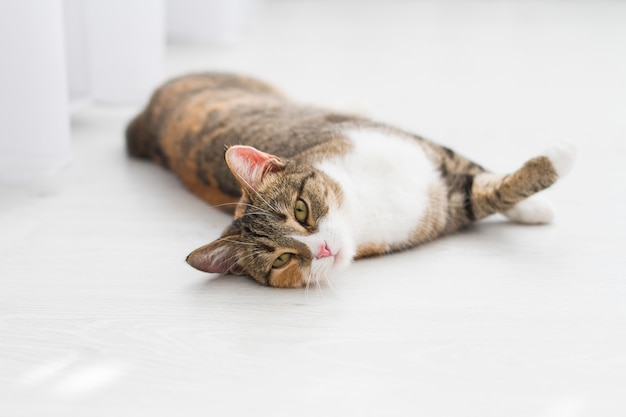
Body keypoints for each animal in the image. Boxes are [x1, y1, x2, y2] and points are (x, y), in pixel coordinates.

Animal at [127, 72, 576, 286]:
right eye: (282, 259)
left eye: (301, 210)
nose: (323, 249)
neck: (364, 205)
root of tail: (145, 114)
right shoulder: (448, 210)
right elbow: (488, 192)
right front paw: (555, 162)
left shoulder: (422, 148)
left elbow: (476, 169)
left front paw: (534, 204)